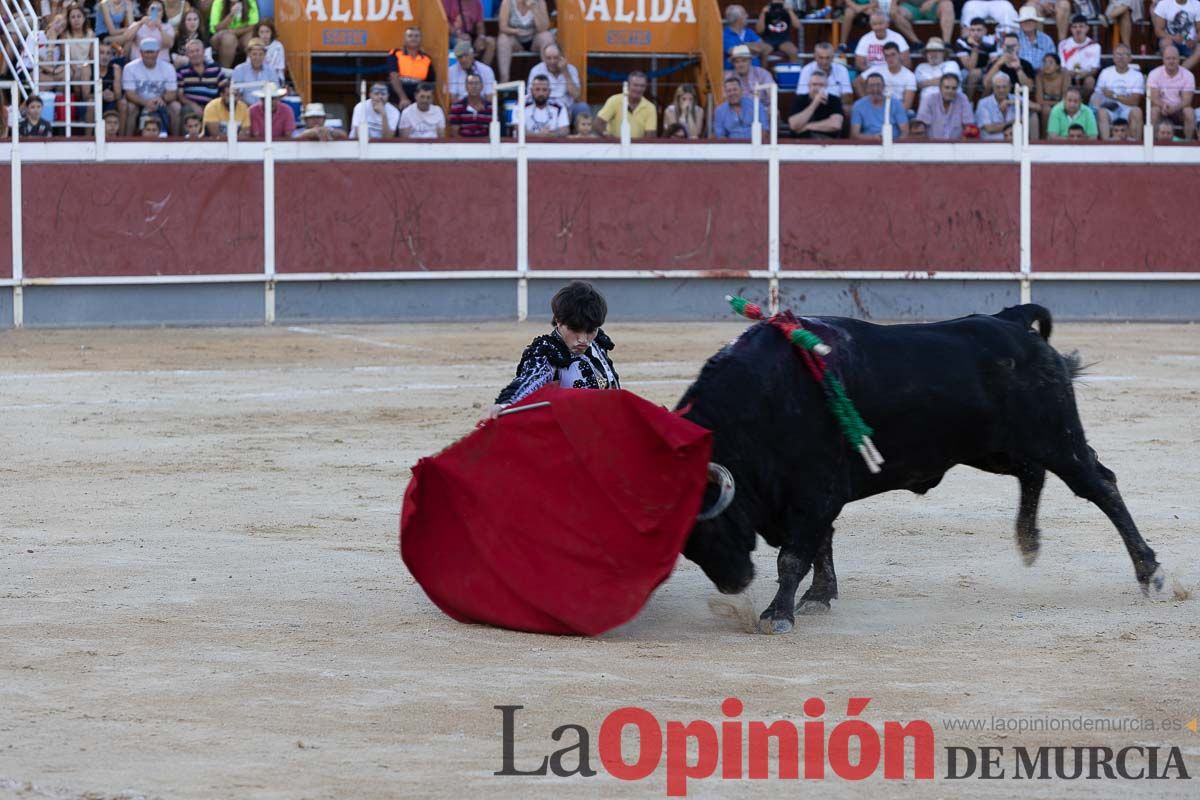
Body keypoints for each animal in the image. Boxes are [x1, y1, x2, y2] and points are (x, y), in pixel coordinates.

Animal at [681, 303, 1166, 633]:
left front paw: (777, 614)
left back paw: (1150, 572)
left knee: (1100, 485)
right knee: (1032, 474)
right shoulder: (808, 496)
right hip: (996, 449)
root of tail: (1011, 320)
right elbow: (820, 544)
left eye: (708, 528)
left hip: (1058, 439)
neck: (760, 400)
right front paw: (818, 597)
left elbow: (795, 554)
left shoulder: (816, 491)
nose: (733, 583)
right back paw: (1028, 541)